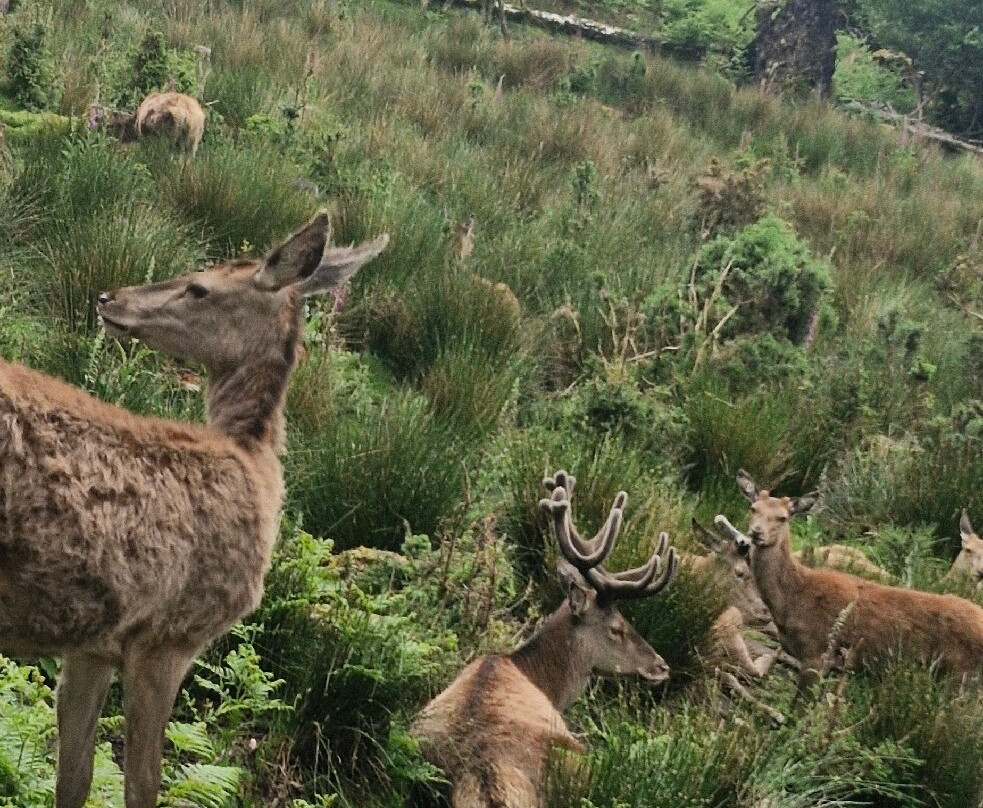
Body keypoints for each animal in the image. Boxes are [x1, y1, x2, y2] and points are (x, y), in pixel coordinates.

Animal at [0, 211, 388, 808]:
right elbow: (141, 785)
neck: (254, 461)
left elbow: (76, 777)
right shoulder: (172, 634)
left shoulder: (97, 644)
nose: (109, 297)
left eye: (200, 287)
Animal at [715, 470, 983, 699]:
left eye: (782, 517)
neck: (794, 599)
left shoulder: (818, 651)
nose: (756, 532)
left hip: (960, 676)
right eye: (753, 508)